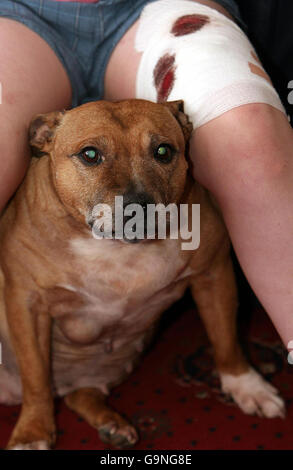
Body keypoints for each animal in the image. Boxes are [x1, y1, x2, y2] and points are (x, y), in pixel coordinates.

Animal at [0, 98, 282, 448]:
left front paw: (246, 385)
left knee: (81, 394)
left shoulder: (213, 274)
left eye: (163, 151)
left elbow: (226, 339)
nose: (138, 205)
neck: (117, 250)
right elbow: (36, 376)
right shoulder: (27, 303)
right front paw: (33, 432)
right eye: (90, 154)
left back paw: (112, 424)